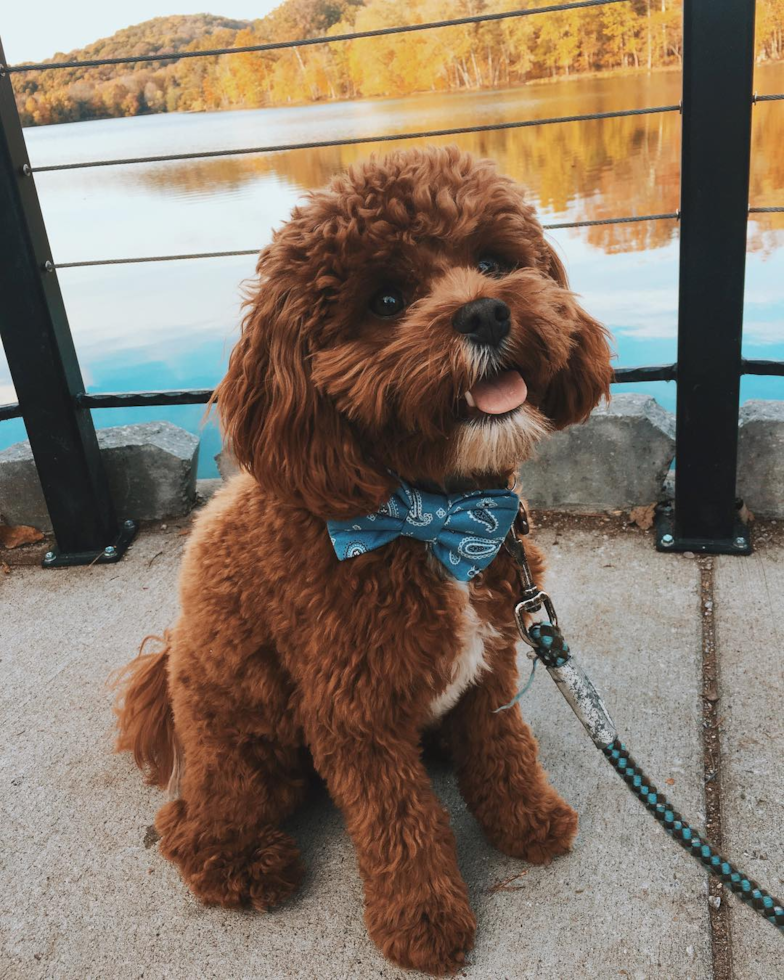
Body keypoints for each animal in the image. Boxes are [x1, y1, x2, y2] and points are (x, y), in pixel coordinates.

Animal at [113, 144, 612, 972]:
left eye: (492, 260)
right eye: (385, 300)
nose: (486, 311)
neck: (431, 516)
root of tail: (170, 664)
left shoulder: (492, 661)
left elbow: (503, 748)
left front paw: (527, 819)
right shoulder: (354, 710)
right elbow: (400, 822)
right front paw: (424, 922)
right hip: (246, 740)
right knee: (193, 818)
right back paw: (243, 863)